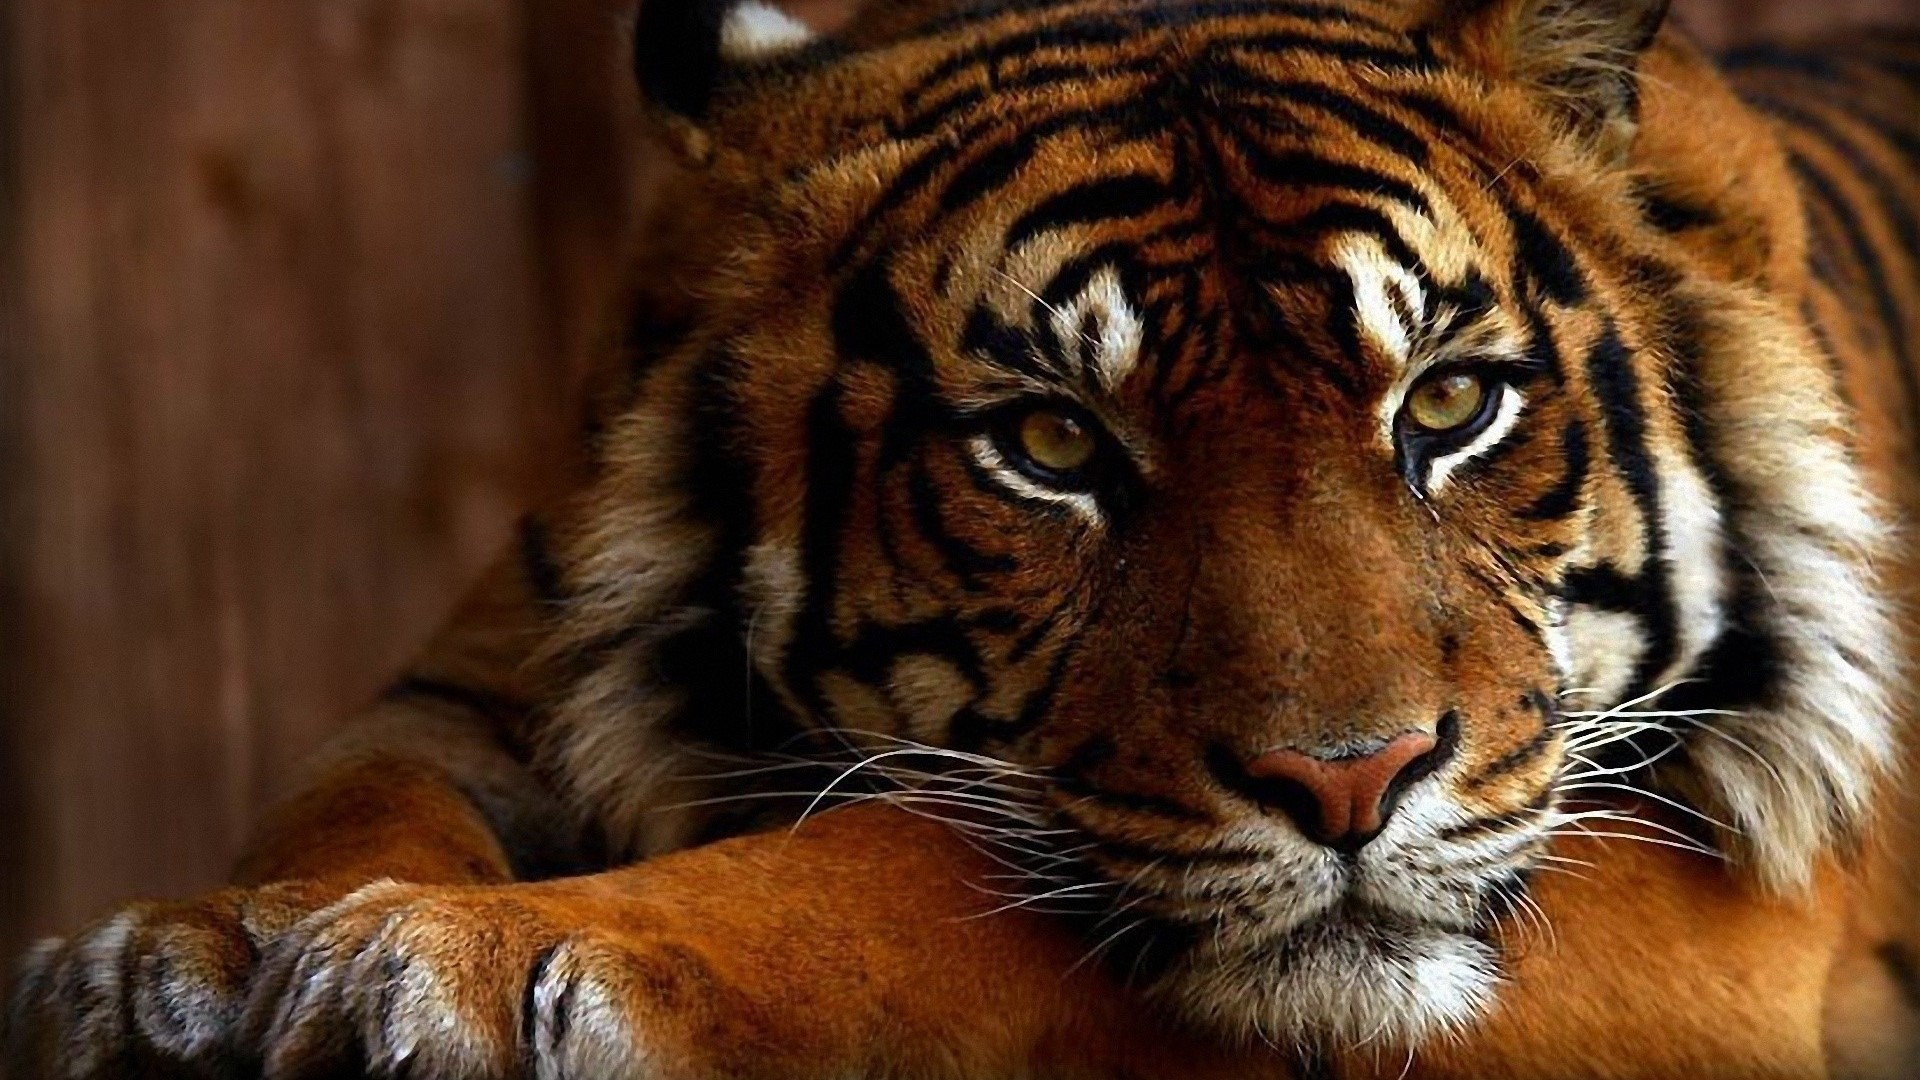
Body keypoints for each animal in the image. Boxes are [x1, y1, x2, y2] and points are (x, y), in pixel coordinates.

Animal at [8, 0, 1920, 1076]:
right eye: (1053, 444)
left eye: (1447, 405)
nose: (1353, 783)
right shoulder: (485, 679)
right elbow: (346, 804)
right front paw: (186, 966)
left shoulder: (1715, 893)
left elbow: (916, 867)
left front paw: (476, 967)